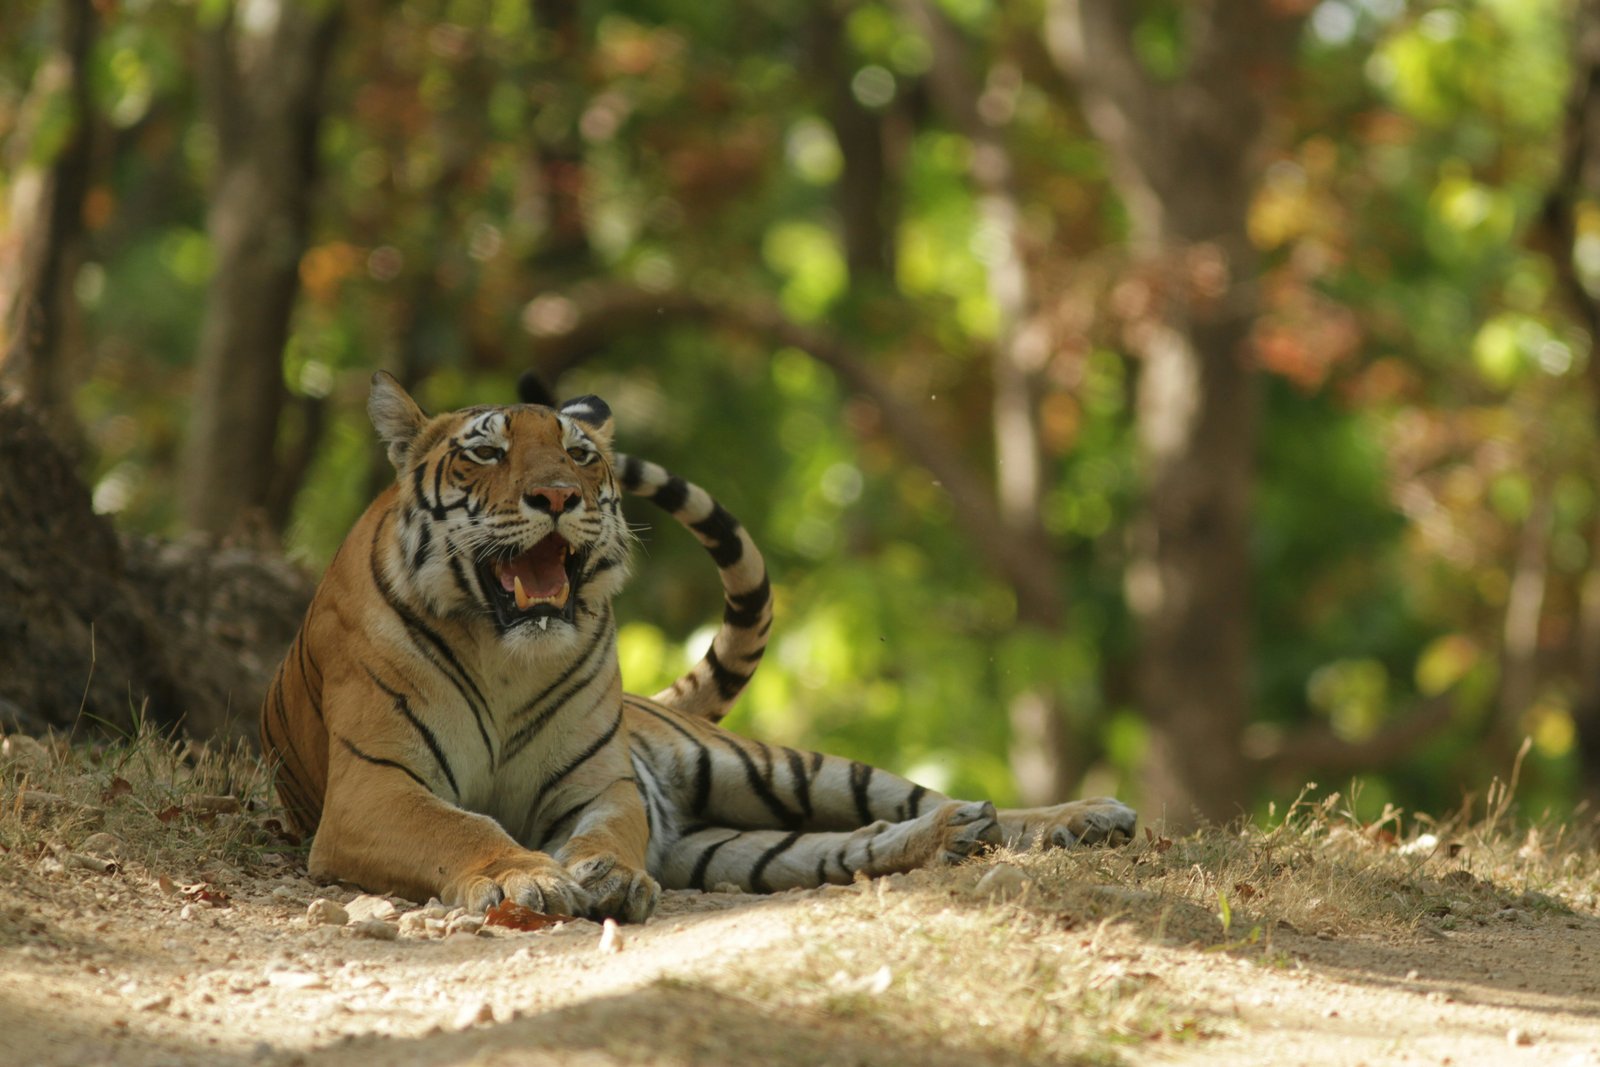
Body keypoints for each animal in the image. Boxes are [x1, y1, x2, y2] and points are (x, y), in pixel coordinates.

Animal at [260, 372, 1137, 923]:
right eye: (486, 451)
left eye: (579, 454)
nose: (558, 496)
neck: (504, 652)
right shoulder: (374, 788)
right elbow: (464, 828)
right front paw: (529, 879)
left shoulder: (600, 782)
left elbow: (609, 831)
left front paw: (609, 877)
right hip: (727, 846)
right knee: (838, 848)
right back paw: (951, 835)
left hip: (774, 768)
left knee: (909, 795)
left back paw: (1074, 816)